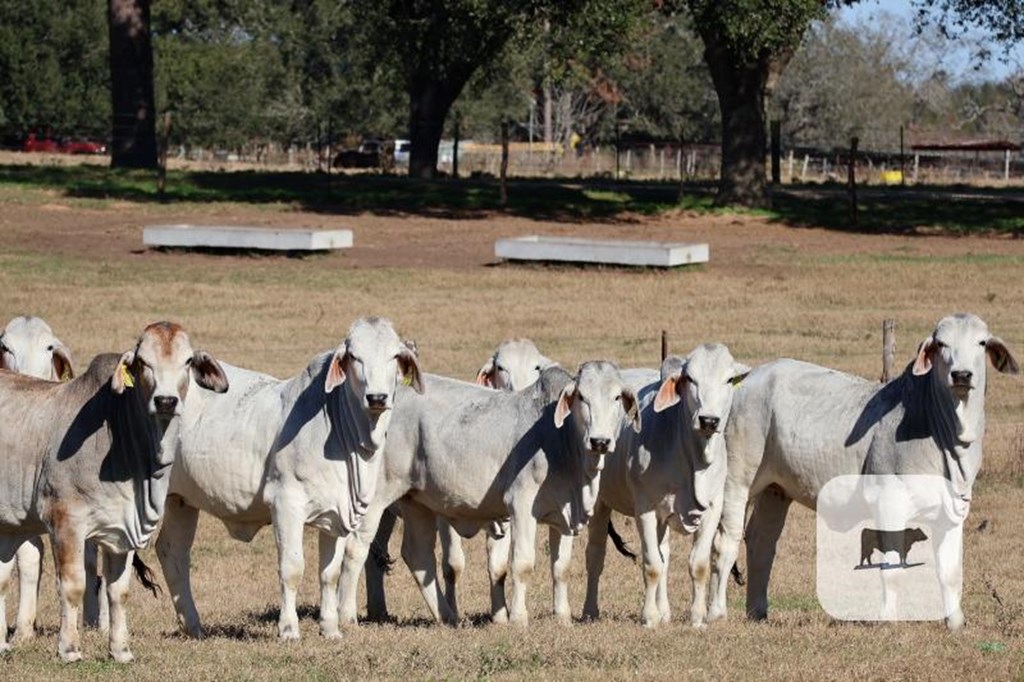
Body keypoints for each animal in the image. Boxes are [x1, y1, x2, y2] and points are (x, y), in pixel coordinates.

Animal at [0, 321, 228, 659]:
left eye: (188, 361)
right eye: (143, 362)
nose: (166, 401)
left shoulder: (124, 529)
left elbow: (118, 591)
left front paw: (121, 651)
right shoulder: (65, 521)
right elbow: (74, 585)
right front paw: (69, 649)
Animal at [339, 364, 634, 622]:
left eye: (617, 397)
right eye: (582, 397)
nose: (600, 441)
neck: (561, 440)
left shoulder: (564, 515)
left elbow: (560, 568)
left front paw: (562, 618)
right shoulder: (521, 506)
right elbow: (522, 564)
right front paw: (518, 618)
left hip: (416, 501)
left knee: (417, 554)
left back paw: (447, 616)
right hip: (377, 498)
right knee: (357, 548)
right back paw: (346, 616)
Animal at [712, 311, 1015, 626]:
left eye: (981, 343)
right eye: (942, 344)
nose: (961, 375)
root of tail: (746, 379)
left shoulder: (954, 510)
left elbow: (950, 572)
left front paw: (955, 623)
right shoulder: (890, 504)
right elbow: (891, 568)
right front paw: (888, 619)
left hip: (776, 490)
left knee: (761, 542)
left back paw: (758, 612)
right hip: (736, 481)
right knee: (725, 542)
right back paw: (716, 612)